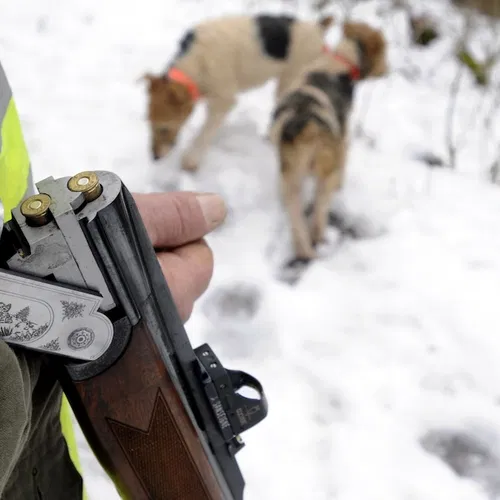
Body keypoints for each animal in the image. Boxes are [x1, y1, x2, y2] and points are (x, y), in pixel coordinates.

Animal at [143, 13, 334, 172]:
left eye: (164, 128)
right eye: (148, 123)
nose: (154, 158)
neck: (194, 64)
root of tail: (318, 28)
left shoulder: (224, 99)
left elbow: (205, 132)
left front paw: (191, 160)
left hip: (289, 82)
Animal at [268, 21, 388, 264]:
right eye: (384, 50)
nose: (387, 70)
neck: (341, 62)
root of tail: (307, 127)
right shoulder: (344, 142)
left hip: (291, 178)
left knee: (296, 217)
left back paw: (303, 251)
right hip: (325, 173)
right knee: (319, 214)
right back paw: (318, 242)